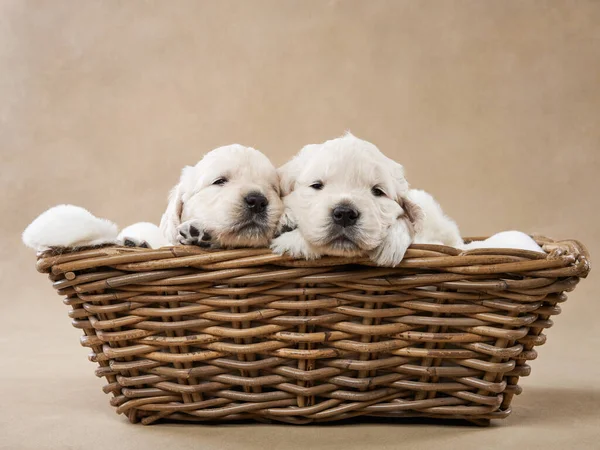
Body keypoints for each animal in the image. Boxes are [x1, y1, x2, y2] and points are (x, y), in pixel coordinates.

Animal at [272, 132, 464, 266]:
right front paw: (288, 225)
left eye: (377, 191)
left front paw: (391, 243)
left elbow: (407, 223)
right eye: (317, 185)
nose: (345, 214)